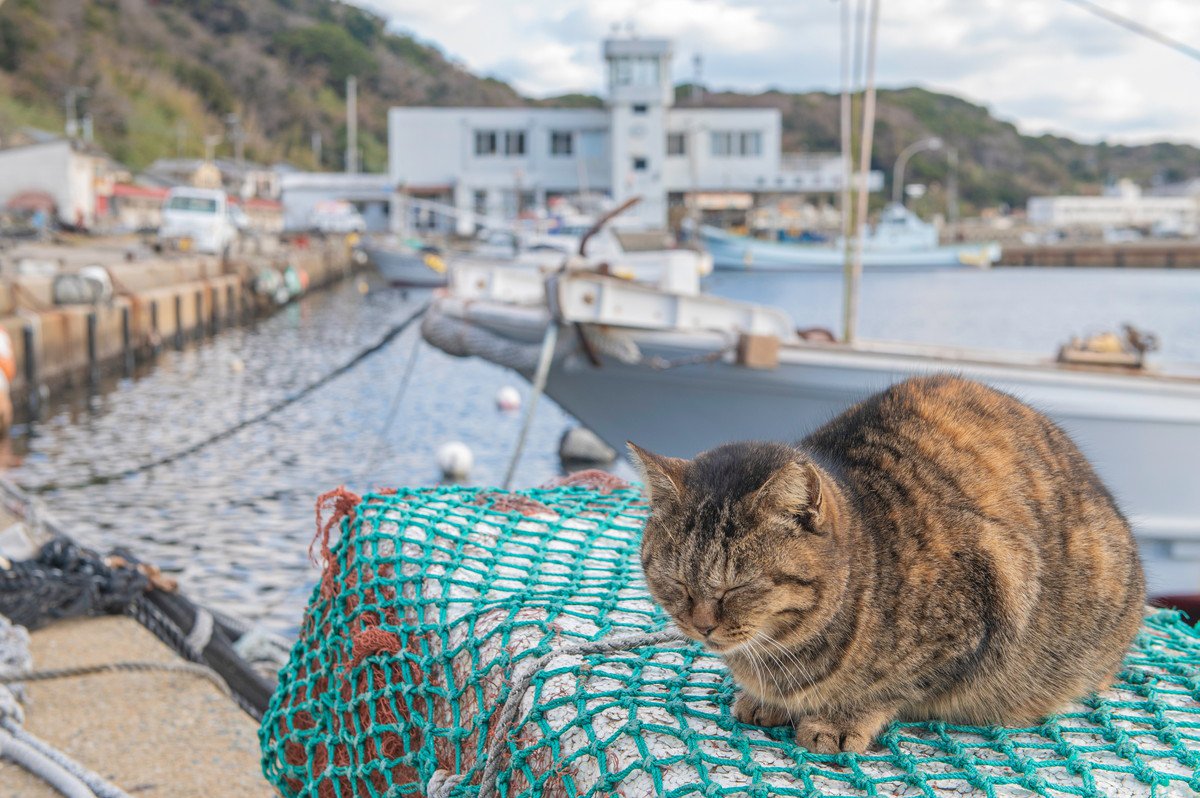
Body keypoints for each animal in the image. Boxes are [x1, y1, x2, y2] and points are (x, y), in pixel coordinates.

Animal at [628, 374, 1142, 753]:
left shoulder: (985, 602)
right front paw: (762, 700)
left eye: (738, 587)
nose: (701, 626)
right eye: (677, 582)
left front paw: (838, 720)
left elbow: (891, 687)